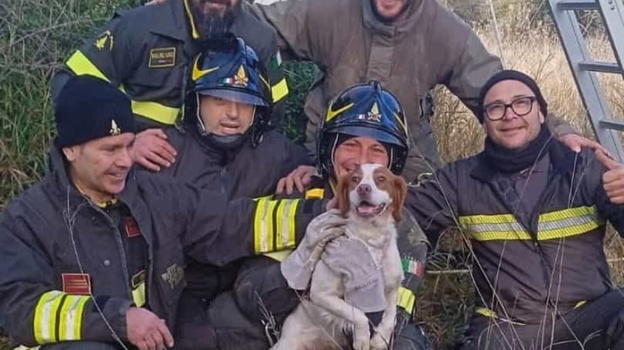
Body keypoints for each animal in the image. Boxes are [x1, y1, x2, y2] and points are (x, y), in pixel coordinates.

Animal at [272, 164, 408, 350]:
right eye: (355, 179)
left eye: (381, 179)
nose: (363, 188)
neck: (369, 239)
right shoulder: (321, 294)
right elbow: (358, 315)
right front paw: (362, 338)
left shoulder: (392, 286)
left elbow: (391, 316)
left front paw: (380, 339)